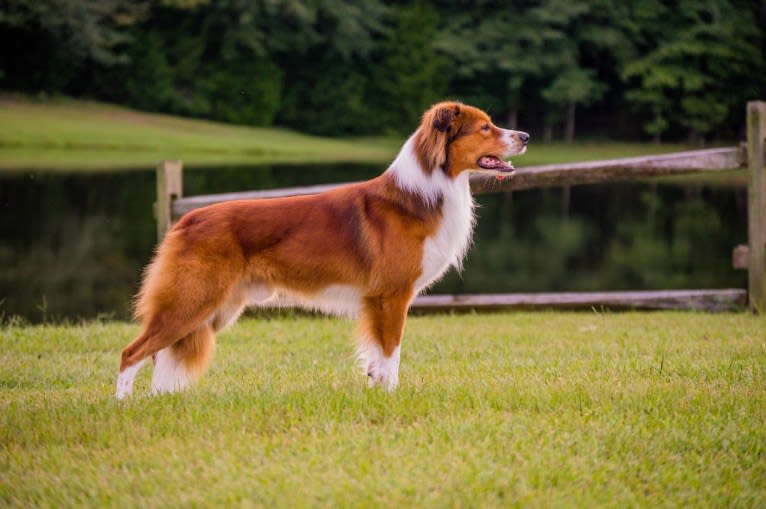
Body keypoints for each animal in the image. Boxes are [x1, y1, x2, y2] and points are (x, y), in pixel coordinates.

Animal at [117, 101, 532, 396]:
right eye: (485, 127)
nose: (526, 135)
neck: (423, 192)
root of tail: (185, 220)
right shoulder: (392, 296)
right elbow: (391, 352)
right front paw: (392, 397)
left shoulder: (378, 300)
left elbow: (377, 358)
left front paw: (377, 391)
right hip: (193, 301)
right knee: (132, 353)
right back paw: (125, 405)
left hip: (215, 308)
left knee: (159, 355)